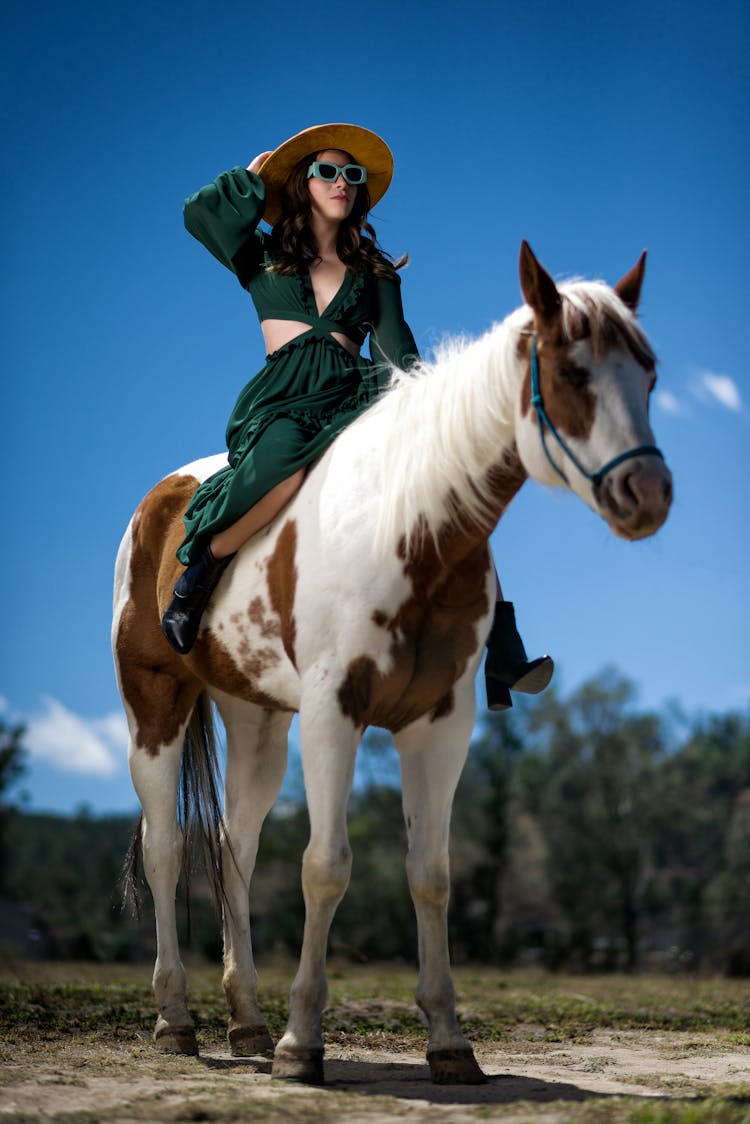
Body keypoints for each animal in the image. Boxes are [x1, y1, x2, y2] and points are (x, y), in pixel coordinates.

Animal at [111, 241, 674, 1083]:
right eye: (573, 372)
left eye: (650, 375)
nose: (649, 493)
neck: (409, 527)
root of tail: (163, 498)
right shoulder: (334, 712)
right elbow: (326, 865)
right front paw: (302, 1044)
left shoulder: (439, 724)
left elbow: (430, 875)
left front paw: (448, 1041)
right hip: (156, 704)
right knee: (167, 849)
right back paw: (177, 1019)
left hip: (257, 720)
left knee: (233, 850)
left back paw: (245, 1021)